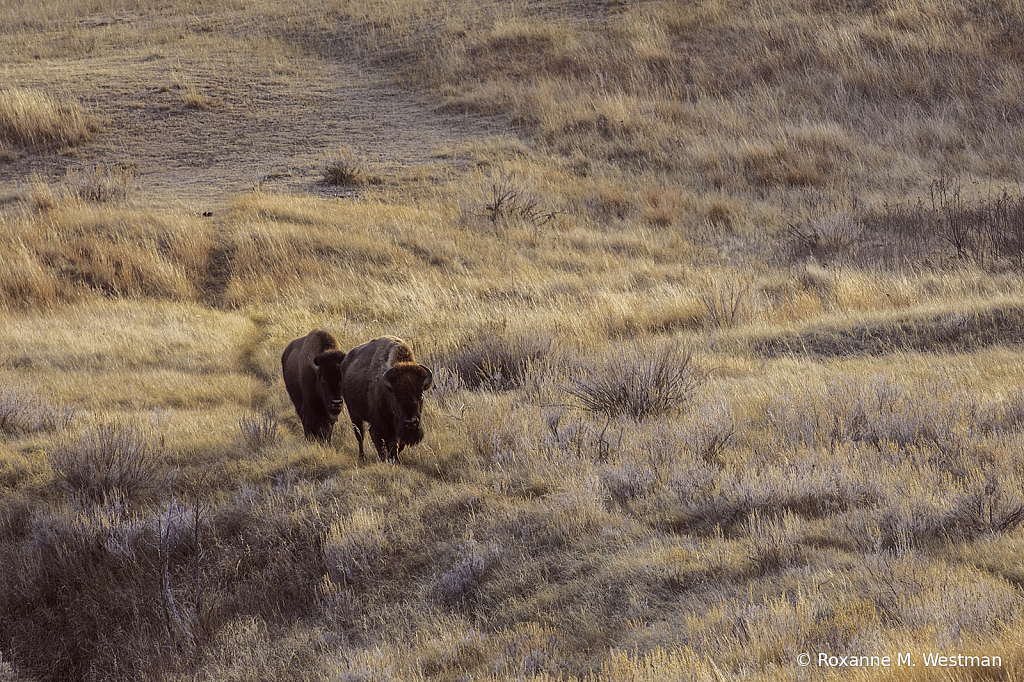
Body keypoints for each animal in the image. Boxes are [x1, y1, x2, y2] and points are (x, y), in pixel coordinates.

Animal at [337, 333, 430, 462]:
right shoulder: (381, 423)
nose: (410, 422)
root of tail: (345, 362)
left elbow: (398, 444)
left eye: (421, 394)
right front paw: (390, 459)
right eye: (395, 397)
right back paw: (362, 458)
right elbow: (389, 442)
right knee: (360, 435)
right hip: (353, 413)